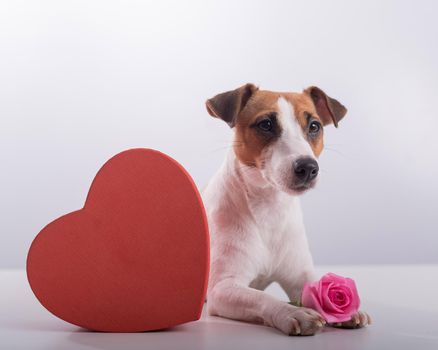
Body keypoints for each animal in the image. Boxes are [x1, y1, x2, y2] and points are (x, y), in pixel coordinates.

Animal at [202, 83, 370, 334]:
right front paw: (292, 312)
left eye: (314, 126)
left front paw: (348, 311)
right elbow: (262, 298)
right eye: (266, 124)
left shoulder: (300, 278)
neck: (269, 210)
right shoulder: (223, 288)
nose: (308, 167)